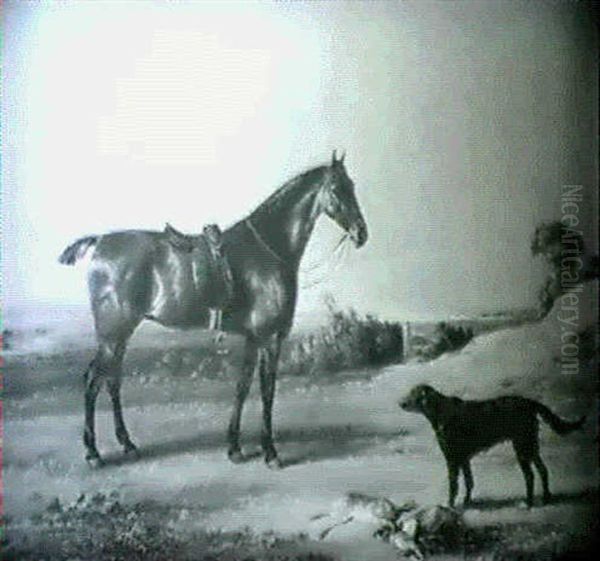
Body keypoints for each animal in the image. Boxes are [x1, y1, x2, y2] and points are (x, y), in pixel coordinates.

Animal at [62, 152, 370, 468]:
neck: (269, 250)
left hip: (120, 335)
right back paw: (93, 452)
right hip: (113, 335)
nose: (361, 233)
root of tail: (100, 242)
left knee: (112, 381)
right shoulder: (269, 338)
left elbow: (243, 387)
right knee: (93, 381)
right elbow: (267, 390)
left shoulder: (253, 338)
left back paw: (127, 444)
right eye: (337, 189)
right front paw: (270, 452)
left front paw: (234, 447)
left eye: (352, 185)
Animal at [398, 384, 584, 508]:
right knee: (543, 470)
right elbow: (469, 481)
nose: (401, 404)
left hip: (521, 447)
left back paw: (529, 503)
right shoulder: (464, 459)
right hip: (530, 446)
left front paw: (450, 506)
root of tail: (529, 402)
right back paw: (546, 498)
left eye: (413, 395)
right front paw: (467, 501)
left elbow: (454, 485)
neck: (442, 413)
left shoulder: (452, 458)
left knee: (530, 475)